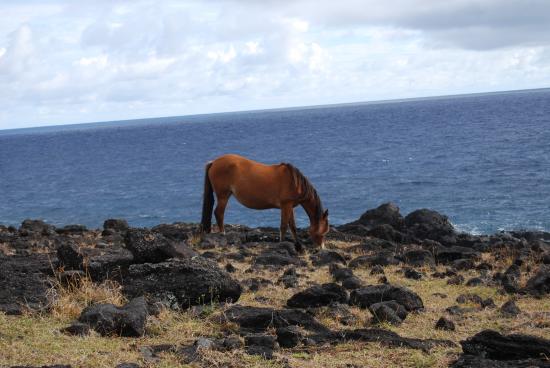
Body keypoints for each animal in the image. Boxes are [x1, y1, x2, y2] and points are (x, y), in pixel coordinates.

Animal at [203, 154, 332, 252]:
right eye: (323, 232)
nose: (322, 248)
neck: (295, 182)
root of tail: (214, 162)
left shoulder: (290, 206)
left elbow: (292, 226)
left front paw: (298, 245)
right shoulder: (285, 205)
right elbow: (284, 226)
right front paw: (282, 244)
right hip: (223, 196)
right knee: (219, 213)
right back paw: (223, 234)